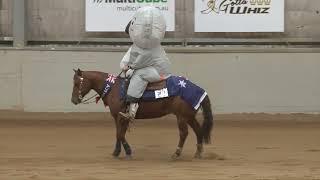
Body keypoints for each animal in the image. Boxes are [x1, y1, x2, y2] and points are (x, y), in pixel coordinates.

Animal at [71, 68, 214, 159]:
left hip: (182, 117)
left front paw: (128, 151)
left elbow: (120, 134)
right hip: (189, 116)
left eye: (77, 83)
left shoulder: (122, 117)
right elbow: (118, 134)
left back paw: (176, 153)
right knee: (198, 131)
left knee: (184, 133)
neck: (113, 89)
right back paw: (198, 153)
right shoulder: (118, 117)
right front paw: (116, 152)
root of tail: (197, 88)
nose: (73, 100)